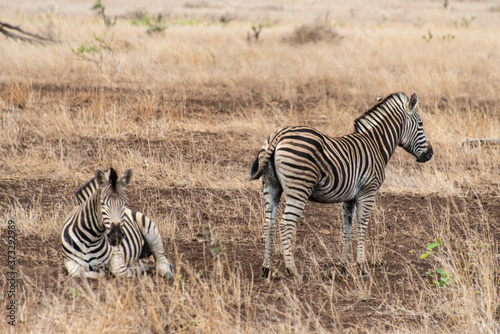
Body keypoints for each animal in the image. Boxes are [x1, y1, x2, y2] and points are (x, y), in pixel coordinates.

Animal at [250, 92, 434, 280]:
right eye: (420, 124)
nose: (430, 154)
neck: (375, 145)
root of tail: (278, 135)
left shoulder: (349, 199)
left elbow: (348, 231)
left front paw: (343, 267)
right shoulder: (368, 193)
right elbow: (362, 228)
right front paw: (362, 268)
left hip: (271, 186)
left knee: (269, 223)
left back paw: (266, 269)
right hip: (299, 189)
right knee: (286, 225)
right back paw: (292, 270)